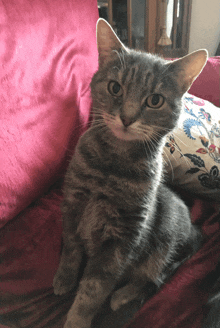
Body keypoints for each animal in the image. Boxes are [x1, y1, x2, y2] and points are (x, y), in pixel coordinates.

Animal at [53, 18, 208, 328]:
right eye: (115, 88)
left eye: (155, 100)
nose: (127, 117)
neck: (112, 164)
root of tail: (194, 229)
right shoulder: (72, 205)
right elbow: (71, 250)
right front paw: (64, 278)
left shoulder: (122, 239)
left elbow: (93, 289)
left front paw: (76, 319)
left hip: (165, 237)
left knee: (155, 278)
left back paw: (122, 295)